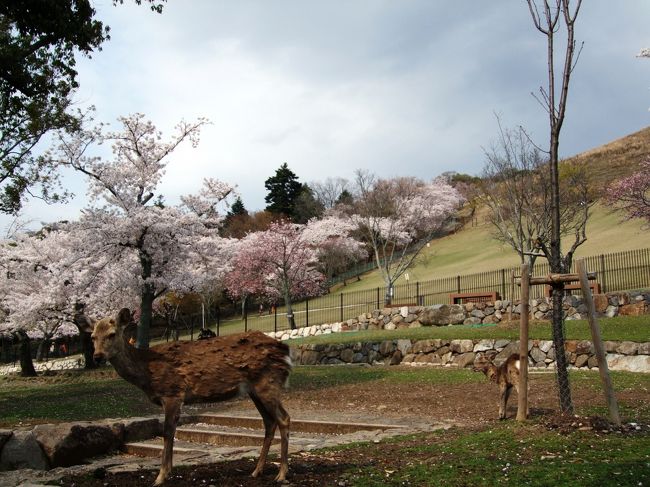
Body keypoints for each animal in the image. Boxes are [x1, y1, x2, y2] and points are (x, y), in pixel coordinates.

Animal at [91, 308, 292, 485]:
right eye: (92, 336)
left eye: (112, 334)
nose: (97, 356)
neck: (147, 373)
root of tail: (287, 352)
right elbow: (171, 432)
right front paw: (168, 472)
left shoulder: (173, 392)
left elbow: (167, 432)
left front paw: (160, 477)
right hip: (255, 390)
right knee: (269, 421)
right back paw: (256, 471)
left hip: (268, 383)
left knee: (284, 418)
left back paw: (281, 475)